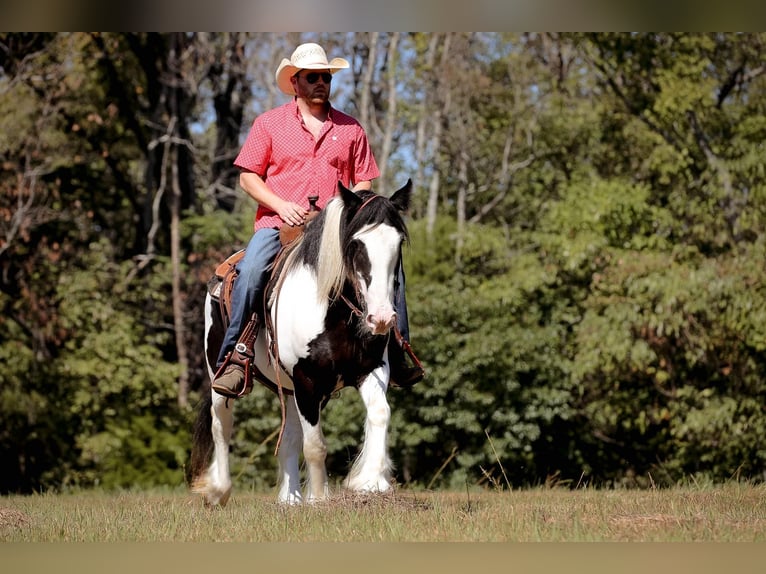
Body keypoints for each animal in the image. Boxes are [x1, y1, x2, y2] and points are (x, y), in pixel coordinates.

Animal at [192, 181, 416, 508]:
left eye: (398, 243)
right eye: (356, 244)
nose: (382, 318)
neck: (333, 311)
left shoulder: (369, 369)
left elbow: (379, 413)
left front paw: (370, 482)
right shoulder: (307, 379)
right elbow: (315, 446)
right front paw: (320, 499)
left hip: (288, 387)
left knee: (289, 436)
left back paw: (290, 498)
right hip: (219, 374)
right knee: (221, 423)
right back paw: (219, 490)